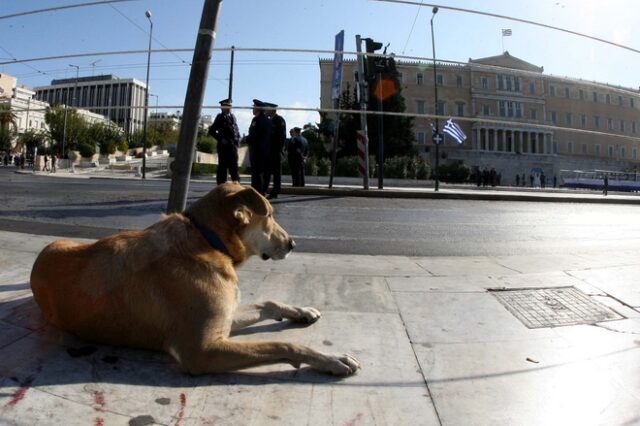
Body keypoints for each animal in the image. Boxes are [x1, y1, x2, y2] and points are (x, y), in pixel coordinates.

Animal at [30, 183, 360, 376]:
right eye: (269, 216)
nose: (293, 244)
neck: (207, 240)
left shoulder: (224, 319)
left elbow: (268, 302)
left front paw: (302, 311)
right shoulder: (202, 350)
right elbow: (284, 345)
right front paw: (331, 359)